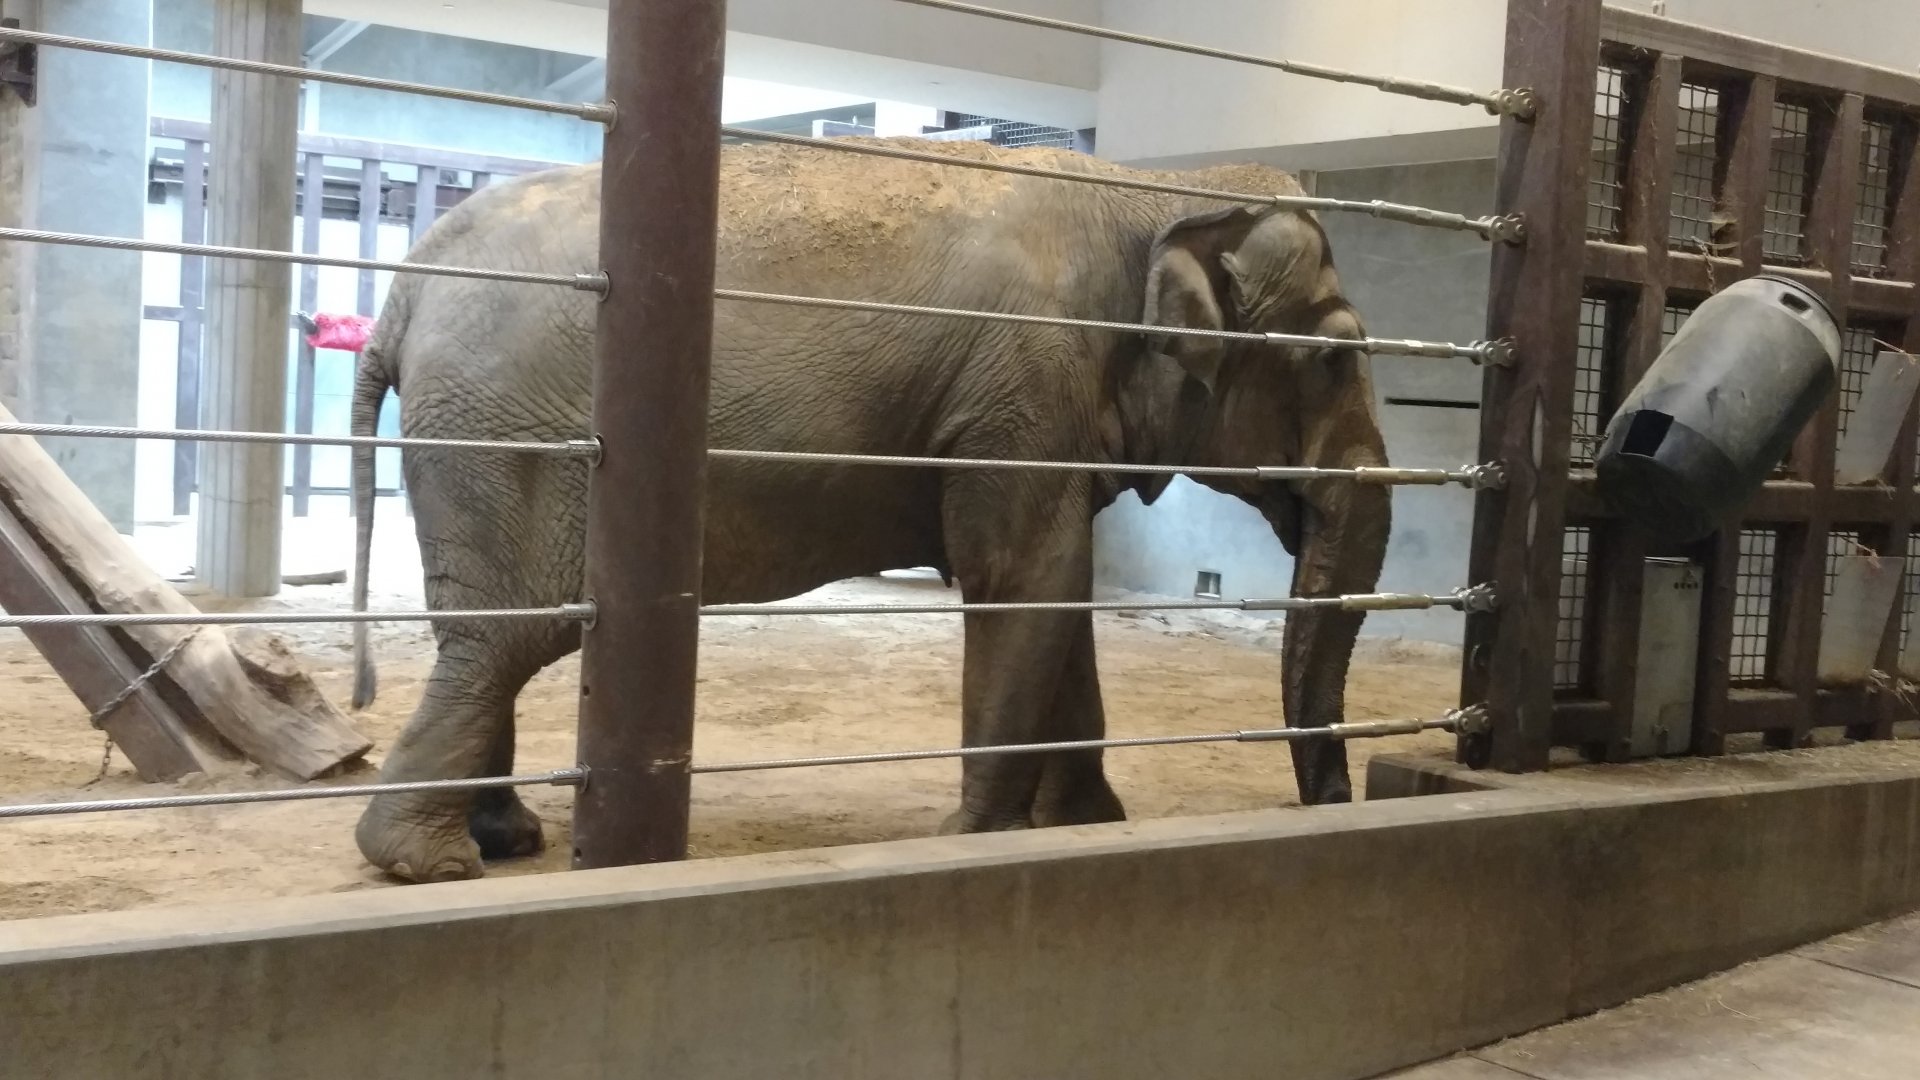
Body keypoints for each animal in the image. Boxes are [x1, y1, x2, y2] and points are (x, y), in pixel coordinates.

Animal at [346, 136, 1392, 883]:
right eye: (1338, 356)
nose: (1338, 802)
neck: (1154, 191)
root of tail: (405, 292)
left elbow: (1060, 594)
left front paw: (1087, 824)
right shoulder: (1020, 388)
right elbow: (1024, 582)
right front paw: (973, 837)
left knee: (476, 634)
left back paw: (503, 838)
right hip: (512, 440)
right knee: (510, 636)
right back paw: (430, 864)